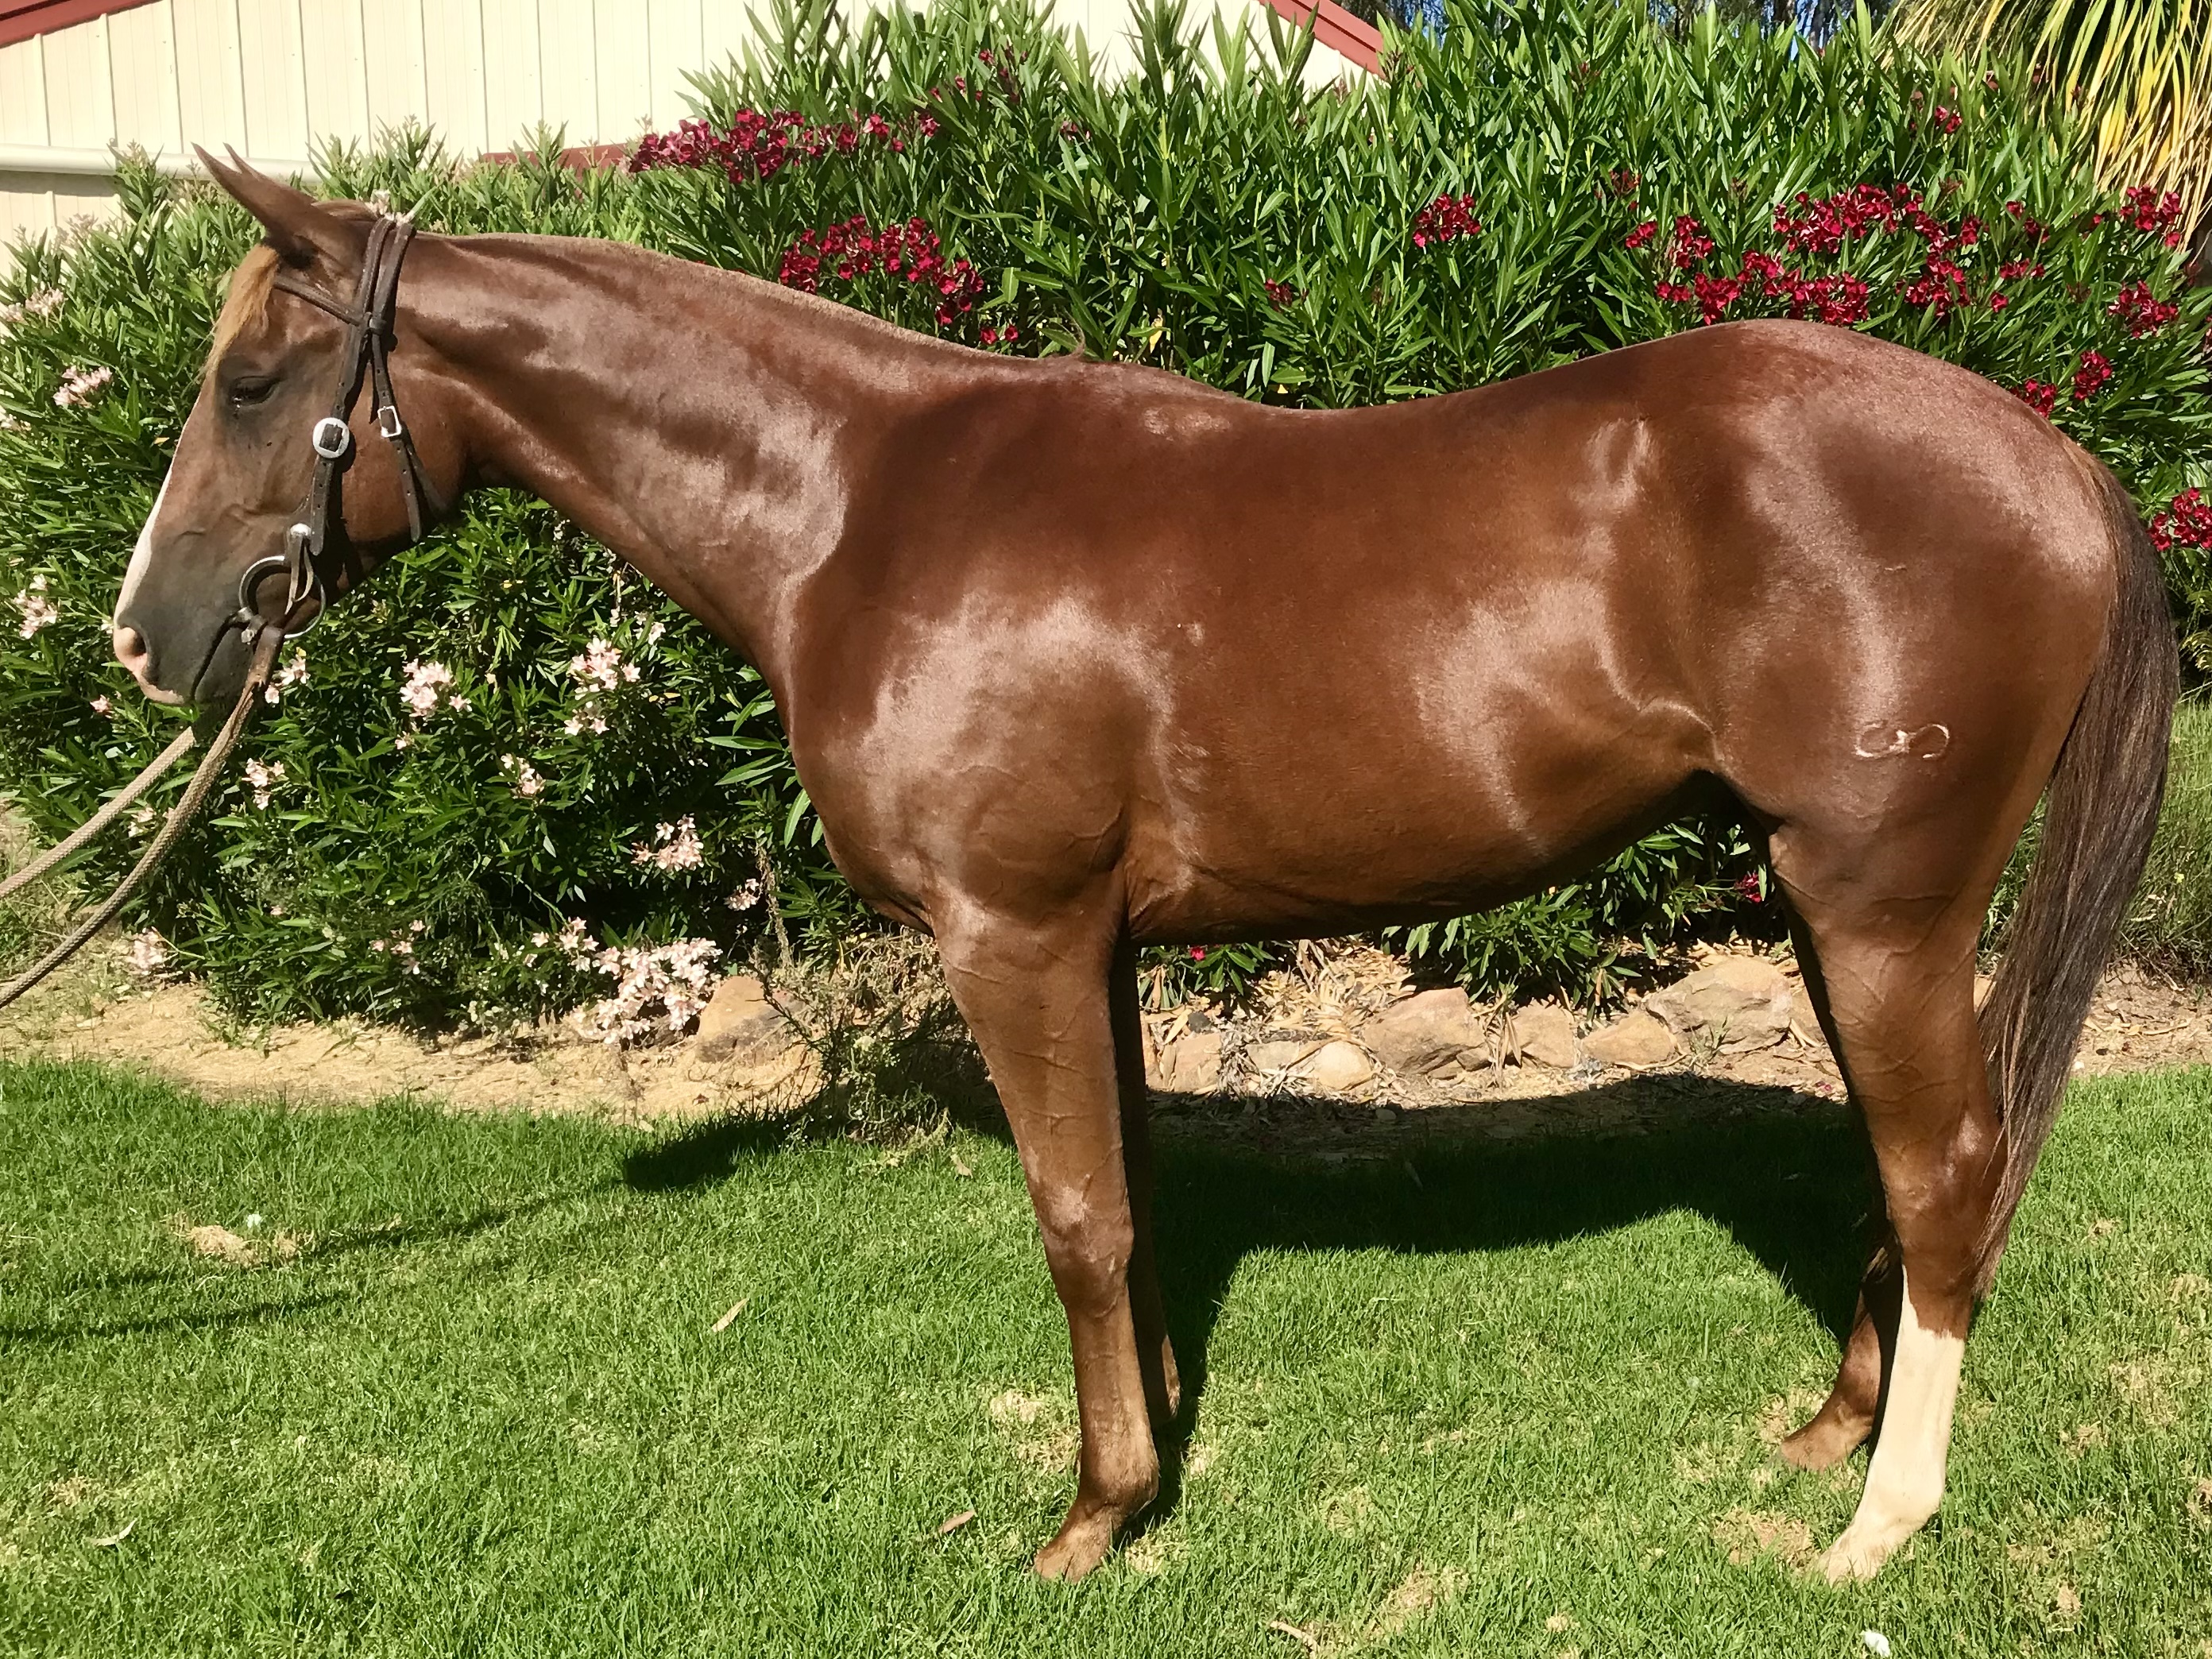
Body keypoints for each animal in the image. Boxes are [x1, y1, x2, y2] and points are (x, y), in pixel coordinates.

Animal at [111, 155, 2176, 1583]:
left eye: (252, 378)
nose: (146, 638)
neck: (861, 508)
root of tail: (2053, 463)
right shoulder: (1093, 942)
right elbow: (1137, 1197)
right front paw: (1161, 1441)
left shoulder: (1009, 935)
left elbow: (1075, 1217)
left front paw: (1093, 1514)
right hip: (1838, 908)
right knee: (1914, 1169)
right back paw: (1832, 1434)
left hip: (1877, 904)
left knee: (1946, 1166)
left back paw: (1881, 1523)